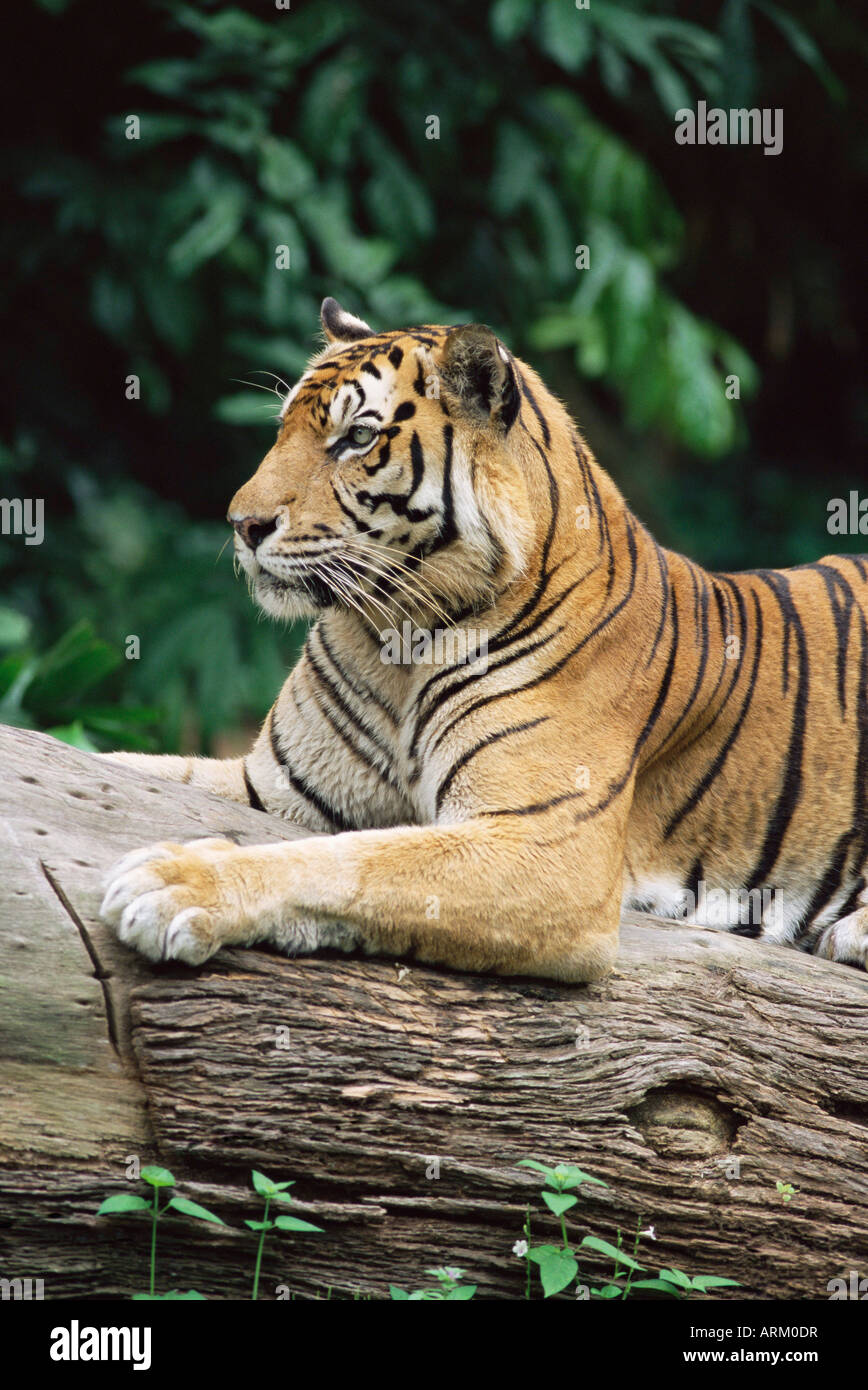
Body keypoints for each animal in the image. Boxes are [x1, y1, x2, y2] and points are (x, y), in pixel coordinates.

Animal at [100, 295, 868, 981]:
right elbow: (128, 764)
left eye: (357, 438)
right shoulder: (274, 785)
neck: (394, 639)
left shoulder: (545, 845)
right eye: (282, 429)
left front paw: (175, 882)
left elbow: (355, 859)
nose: (242, 523)